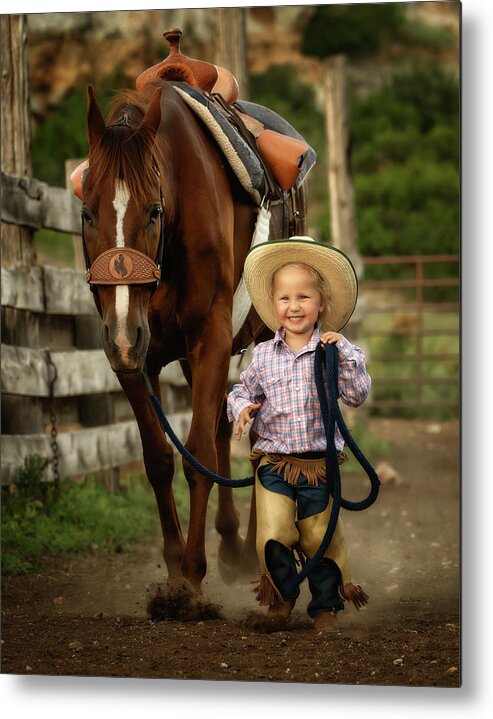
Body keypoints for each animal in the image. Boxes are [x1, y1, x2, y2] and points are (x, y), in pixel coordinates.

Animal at [81, 79, 308, 616]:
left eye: (153, 212)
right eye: (86, 212)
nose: (124, 333)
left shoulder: (211, 338)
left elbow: (198, 454)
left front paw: (193, 575)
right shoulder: (132, 357)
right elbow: (159, 460)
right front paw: (173, 573)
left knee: (259, 438)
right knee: (229, 427)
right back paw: (231, 544)